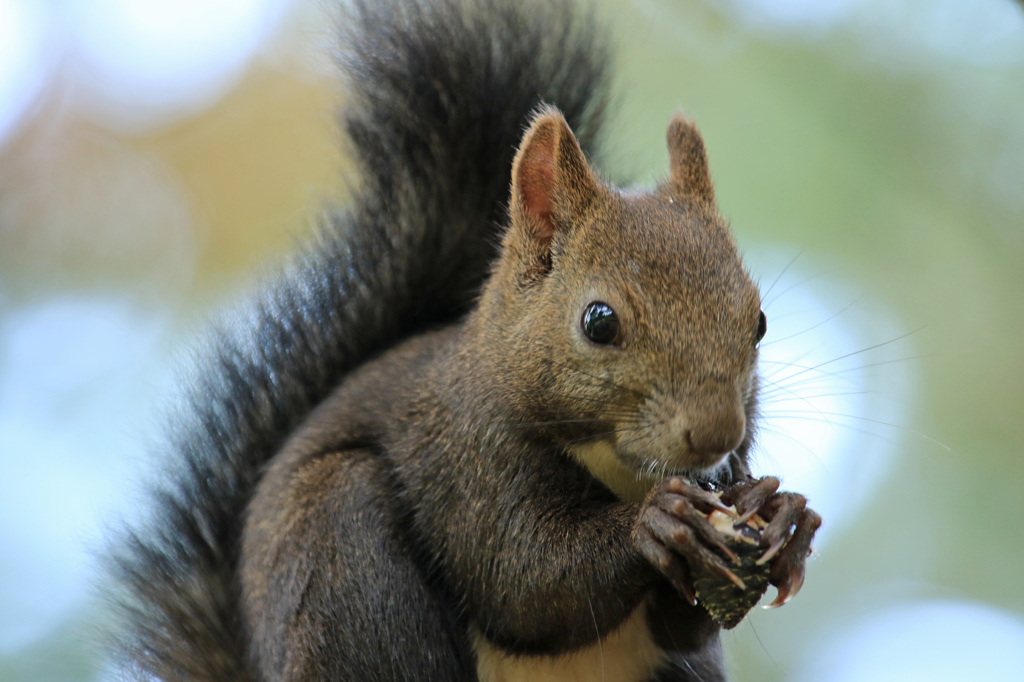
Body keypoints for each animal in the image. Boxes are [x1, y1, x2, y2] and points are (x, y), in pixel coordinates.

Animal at [108, 1, 819, 679]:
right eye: (599, 322)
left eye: (759, 322)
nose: (718, 433)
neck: (617, 464)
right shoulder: (464, 458)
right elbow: (524, 579)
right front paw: (658, 523)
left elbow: (682, 625)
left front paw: (783, 514)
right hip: (340, 551)